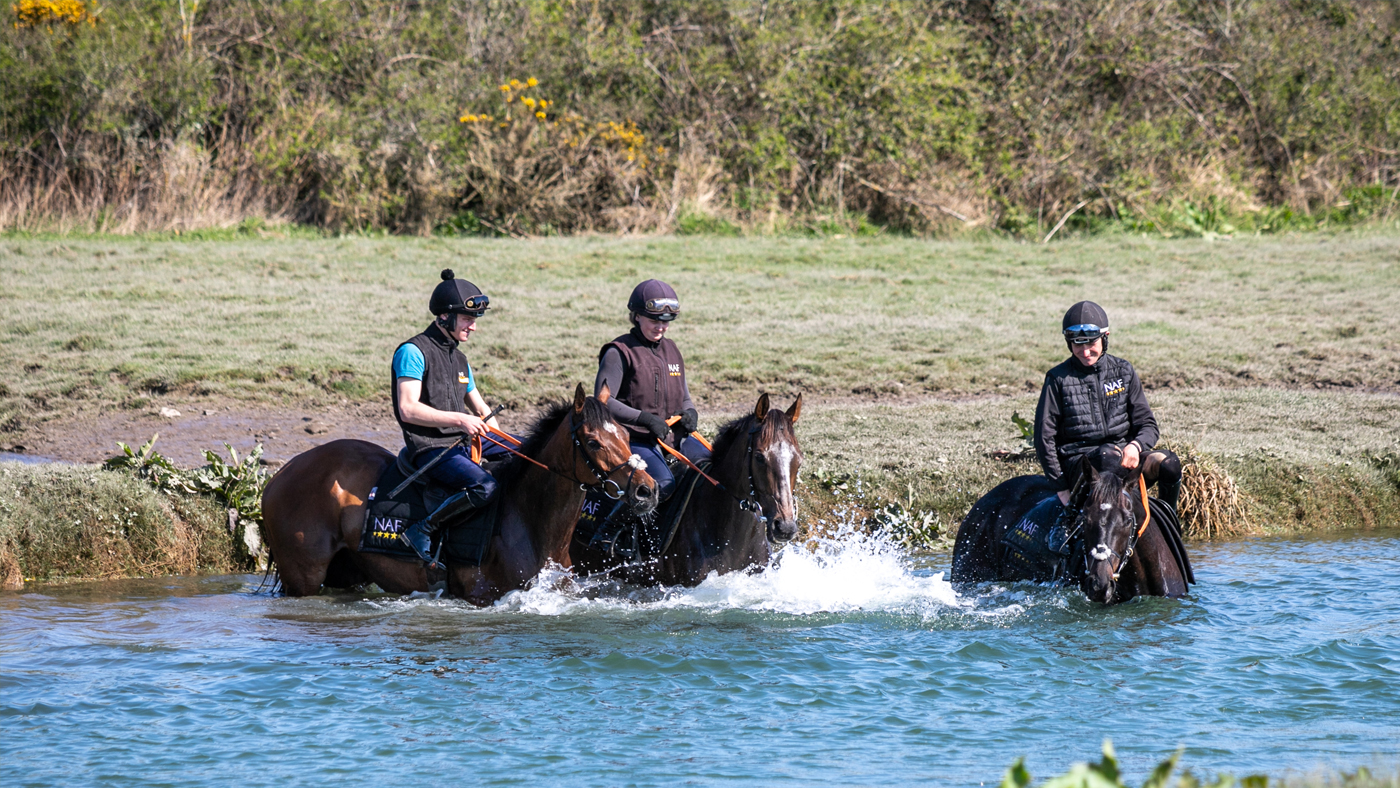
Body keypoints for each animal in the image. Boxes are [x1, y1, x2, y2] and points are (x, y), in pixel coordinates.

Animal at [261, 383, 657, 606]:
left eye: (626, 433)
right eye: (593, 441)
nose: (646, 490)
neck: (528, 521)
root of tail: (281, 474)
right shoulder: (483, 597)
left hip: (346, 571)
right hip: (303, 577)